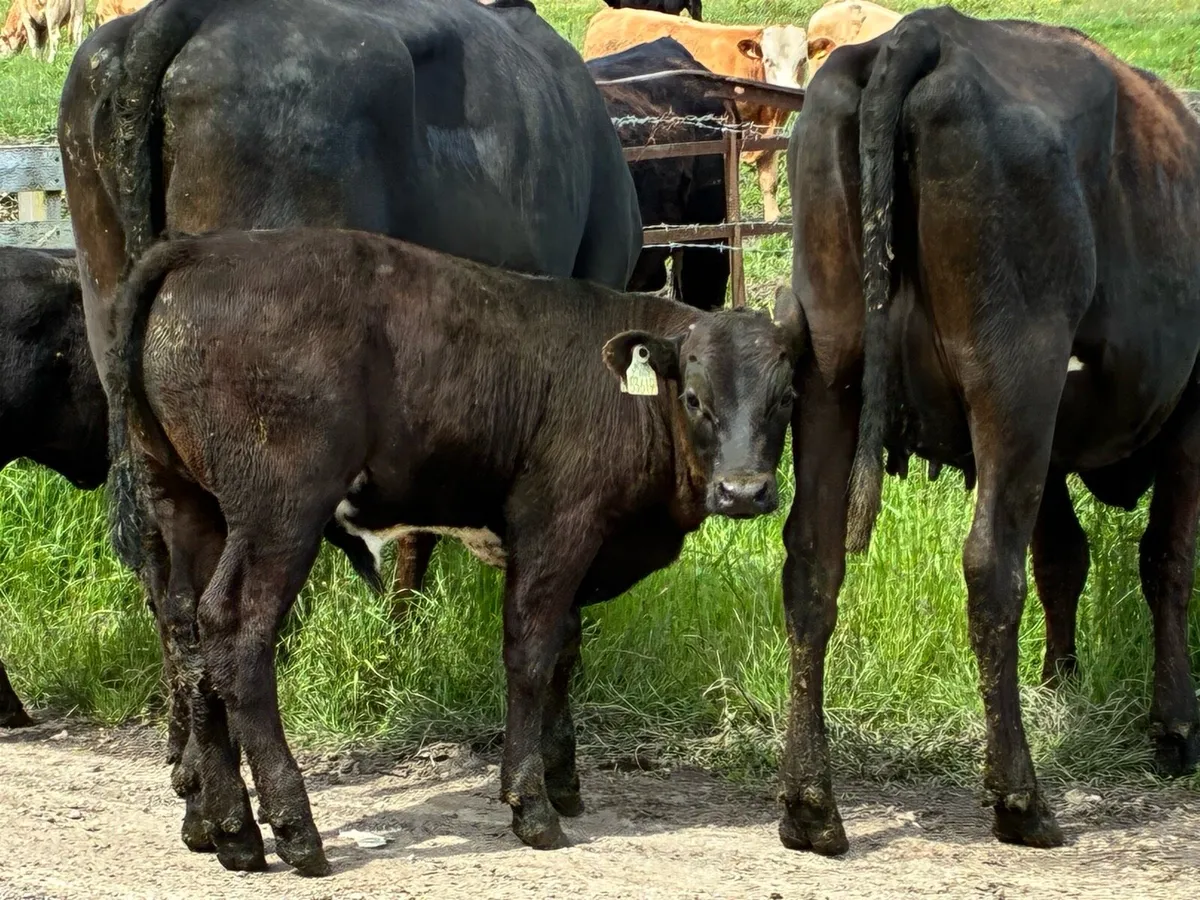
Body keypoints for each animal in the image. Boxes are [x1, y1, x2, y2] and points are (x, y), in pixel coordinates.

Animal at [107, 225, 804, 875]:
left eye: (786, 397)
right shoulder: (558, 525)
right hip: (280, 509)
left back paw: (222, 826)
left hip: (188, 505)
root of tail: (198, 249)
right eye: (693, 397)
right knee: (235, 633)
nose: (743, 491)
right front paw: (531, 805)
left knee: (187, 638)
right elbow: (532, 653)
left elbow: (564, 652)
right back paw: (292, 827)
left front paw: (563, 780)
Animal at [781, 5, 1200, 857]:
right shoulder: (1192, 407)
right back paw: (1021, 798)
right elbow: (1165, 561)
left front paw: (1063, 681)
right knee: (988, 568)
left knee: (811, 562)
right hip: (1015, 377)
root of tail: (927, 30)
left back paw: (810, 803)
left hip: (832, 368)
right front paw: (1173, 726)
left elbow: (1063, 558)